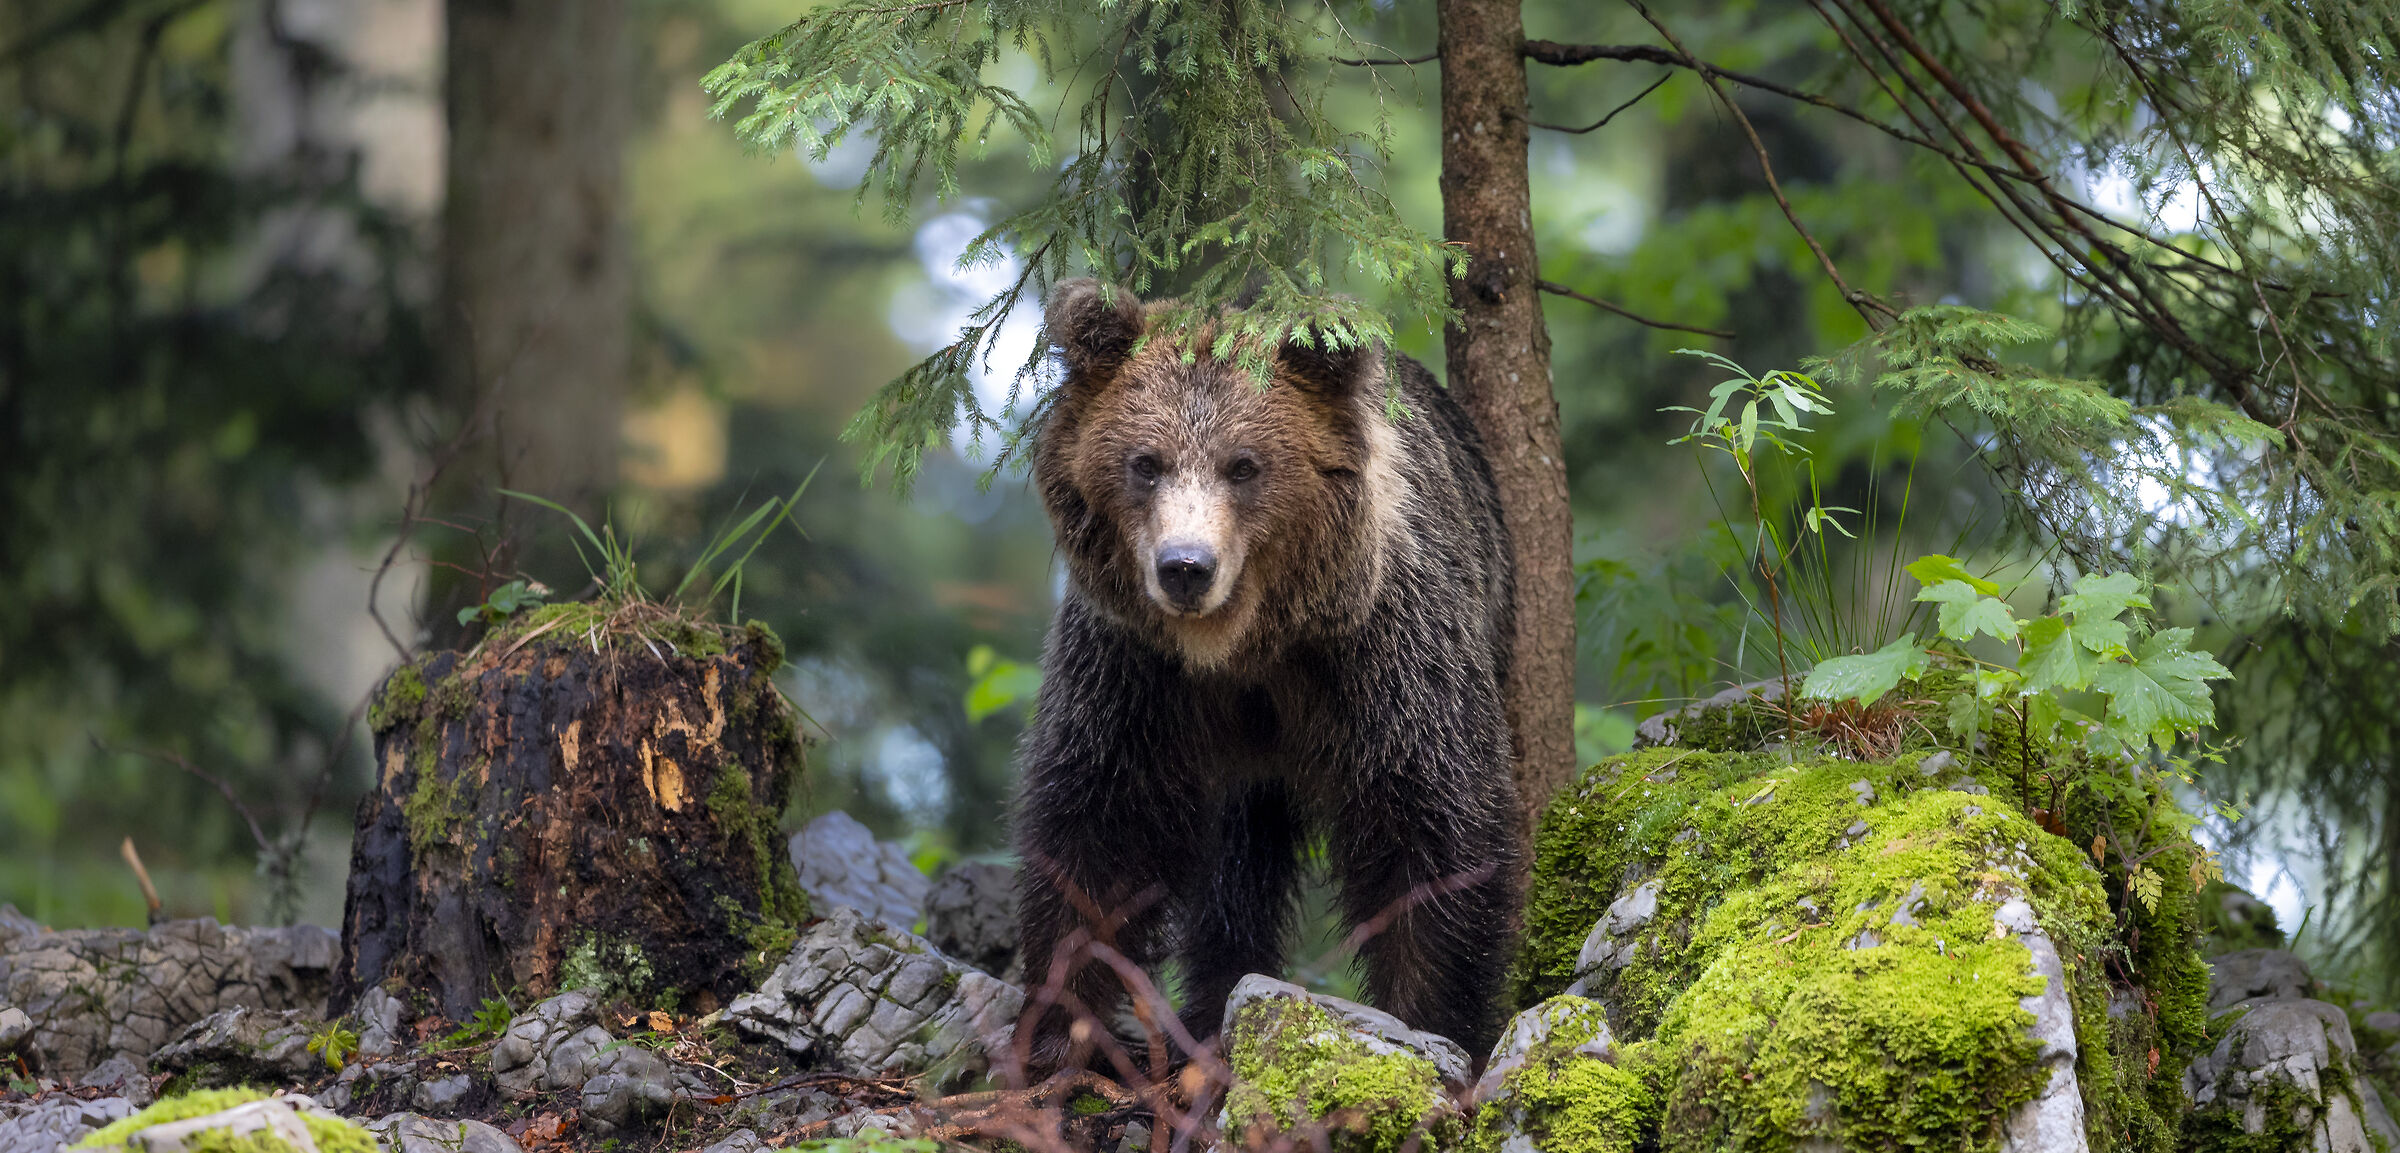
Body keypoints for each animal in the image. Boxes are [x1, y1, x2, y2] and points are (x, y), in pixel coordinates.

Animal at [1010, 279, 1523, 1077]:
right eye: (1146, 462)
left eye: (1243, 464)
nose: (1185, 566)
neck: (1247, 647)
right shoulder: (1132, 669)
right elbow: (1098, 817)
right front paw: (1062, 1031)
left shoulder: (1386, 654)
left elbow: (1433, 827)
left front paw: (1430, 1025)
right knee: (1236, 864)